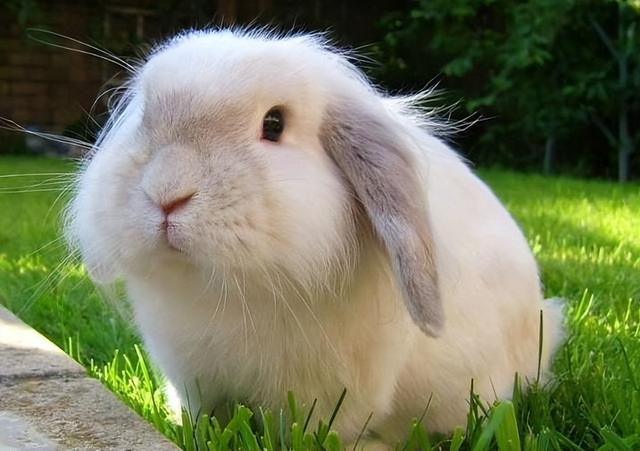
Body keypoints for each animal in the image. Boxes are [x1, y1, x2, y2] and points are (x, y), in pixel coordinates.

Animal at [66, 29, 565, 447]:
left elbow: (319, 431)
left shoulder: (333, 391)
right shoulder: (192, 375)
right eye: (146, 119)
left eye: (274, 124)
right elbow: (204, 417)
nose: (167, 194)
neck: (228, 291)